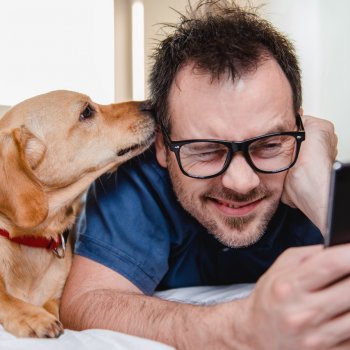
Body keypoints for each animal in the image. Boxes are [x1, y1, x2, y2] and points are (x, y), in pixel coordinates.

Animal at [0, 89, 154, 336]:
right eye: (87, 111)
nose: (152, 104)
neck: (29, 241)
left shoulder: (58, 299)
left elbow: (53, 306)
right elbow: (5, 298)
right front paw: (32, 316)